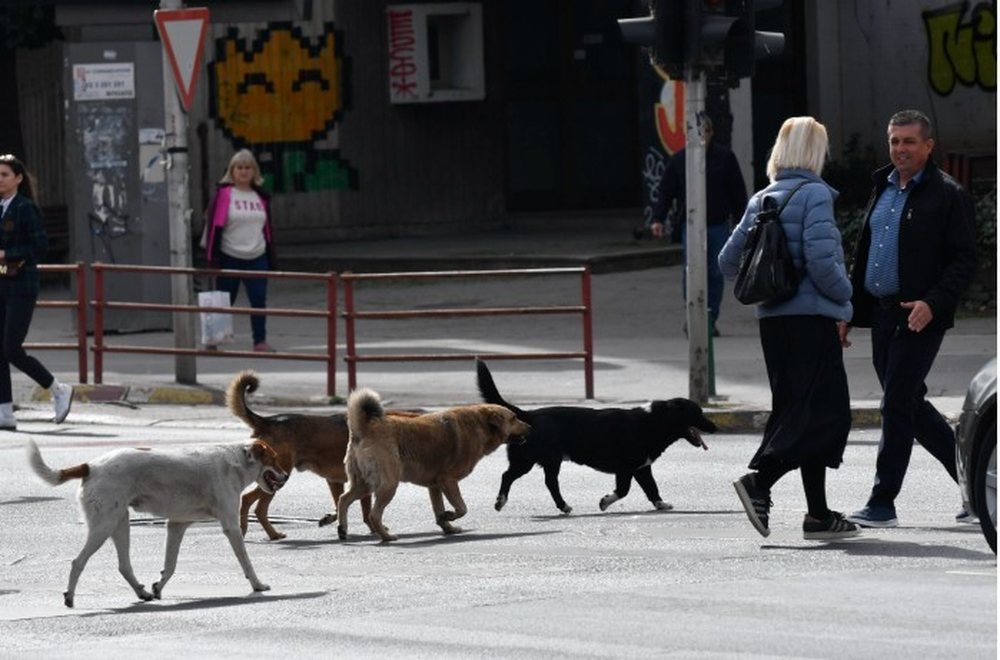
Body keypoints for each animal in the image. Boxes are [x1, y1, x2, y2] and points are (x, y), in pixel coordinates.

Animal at [27, 437, 287, 608]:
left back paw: (142, 593)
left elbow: (170, 566)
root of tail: (91, 466)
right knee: (78, 561)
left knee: (124, 566)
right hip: (104, 526)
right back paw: (70, 597)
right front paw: (258, 585)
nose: (286, 476)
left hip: (119, 523)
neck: (236, 461)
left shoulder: (176, 525)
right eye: (274, 459)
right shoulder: (231, 527)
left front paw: (158, 587)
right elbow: (247, 562)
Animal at [227, 370, 377, 540]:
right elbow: (365, 511)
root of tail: (268, 421)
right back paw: (265, 532)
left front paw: (332, 519)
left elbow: (339, 504)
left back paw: (269, 533)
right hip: (278, 476)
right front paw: (374, 529)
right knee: (254, 504)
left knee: (253, 504)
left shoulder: (334, 481)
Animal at [337, 387, 531, 542]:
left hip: (364, 484)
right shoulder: (448, 481)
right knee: (373, 515)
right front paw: (450, 516)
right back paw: (387, 537)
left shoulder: (435, 486)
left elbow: (439, 511)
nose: (530, 427)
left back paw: (343, 529)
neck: (480, 425)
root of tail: (365, 428)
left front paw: (448, 527)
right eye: (513, 418)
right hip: (388, 485)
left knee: (343, 499)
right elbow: (462, 508)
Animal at [476, 359, 716, 514]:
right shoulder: (626, 468)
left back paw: (562, 506)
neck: (654, 421)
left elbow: (652, 488)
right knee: (511, 476)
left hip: (541, 461)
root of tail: (529, 415)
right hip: (532, 460)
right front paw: (605, 502)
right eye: (698, 413)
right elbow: (623, 490)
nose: (714, 427)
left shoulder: (642, 468)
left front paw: (661, 504)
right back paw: (501, 501)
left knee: (542, 481)